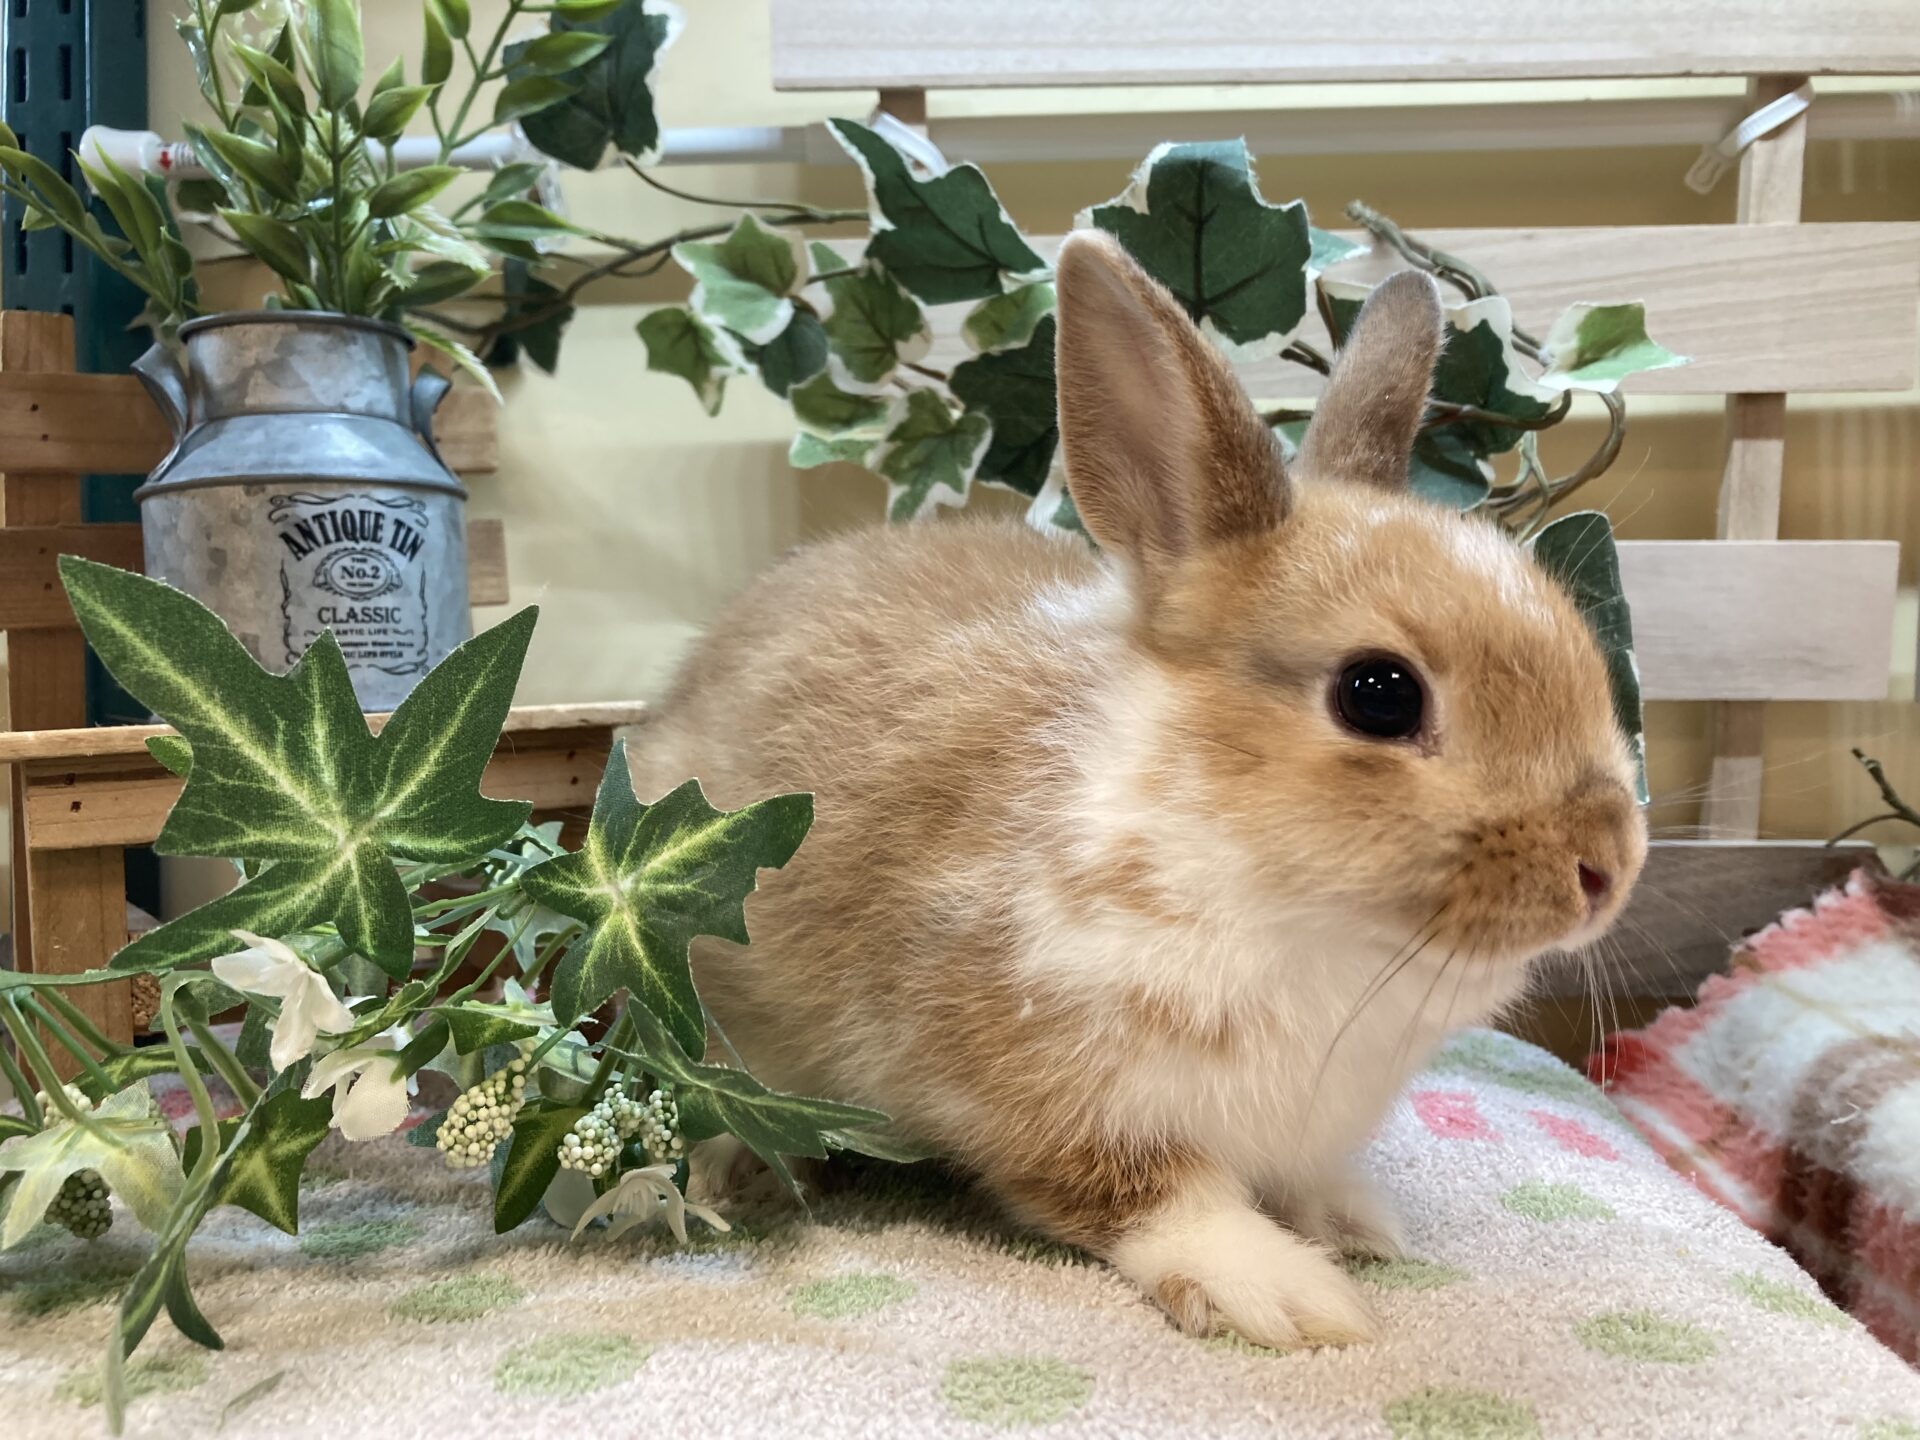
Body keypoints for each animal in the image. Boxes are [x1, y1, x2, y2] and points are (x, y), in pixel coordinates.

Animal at [628, 230, 1647, 1350]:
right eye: (1378, 695)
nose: (1606, 867)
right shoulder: (1025, 1083)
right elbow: (1155, 1195)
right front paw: (1287, 1294)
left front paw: (1356, 1222)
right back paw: (735, 1174)